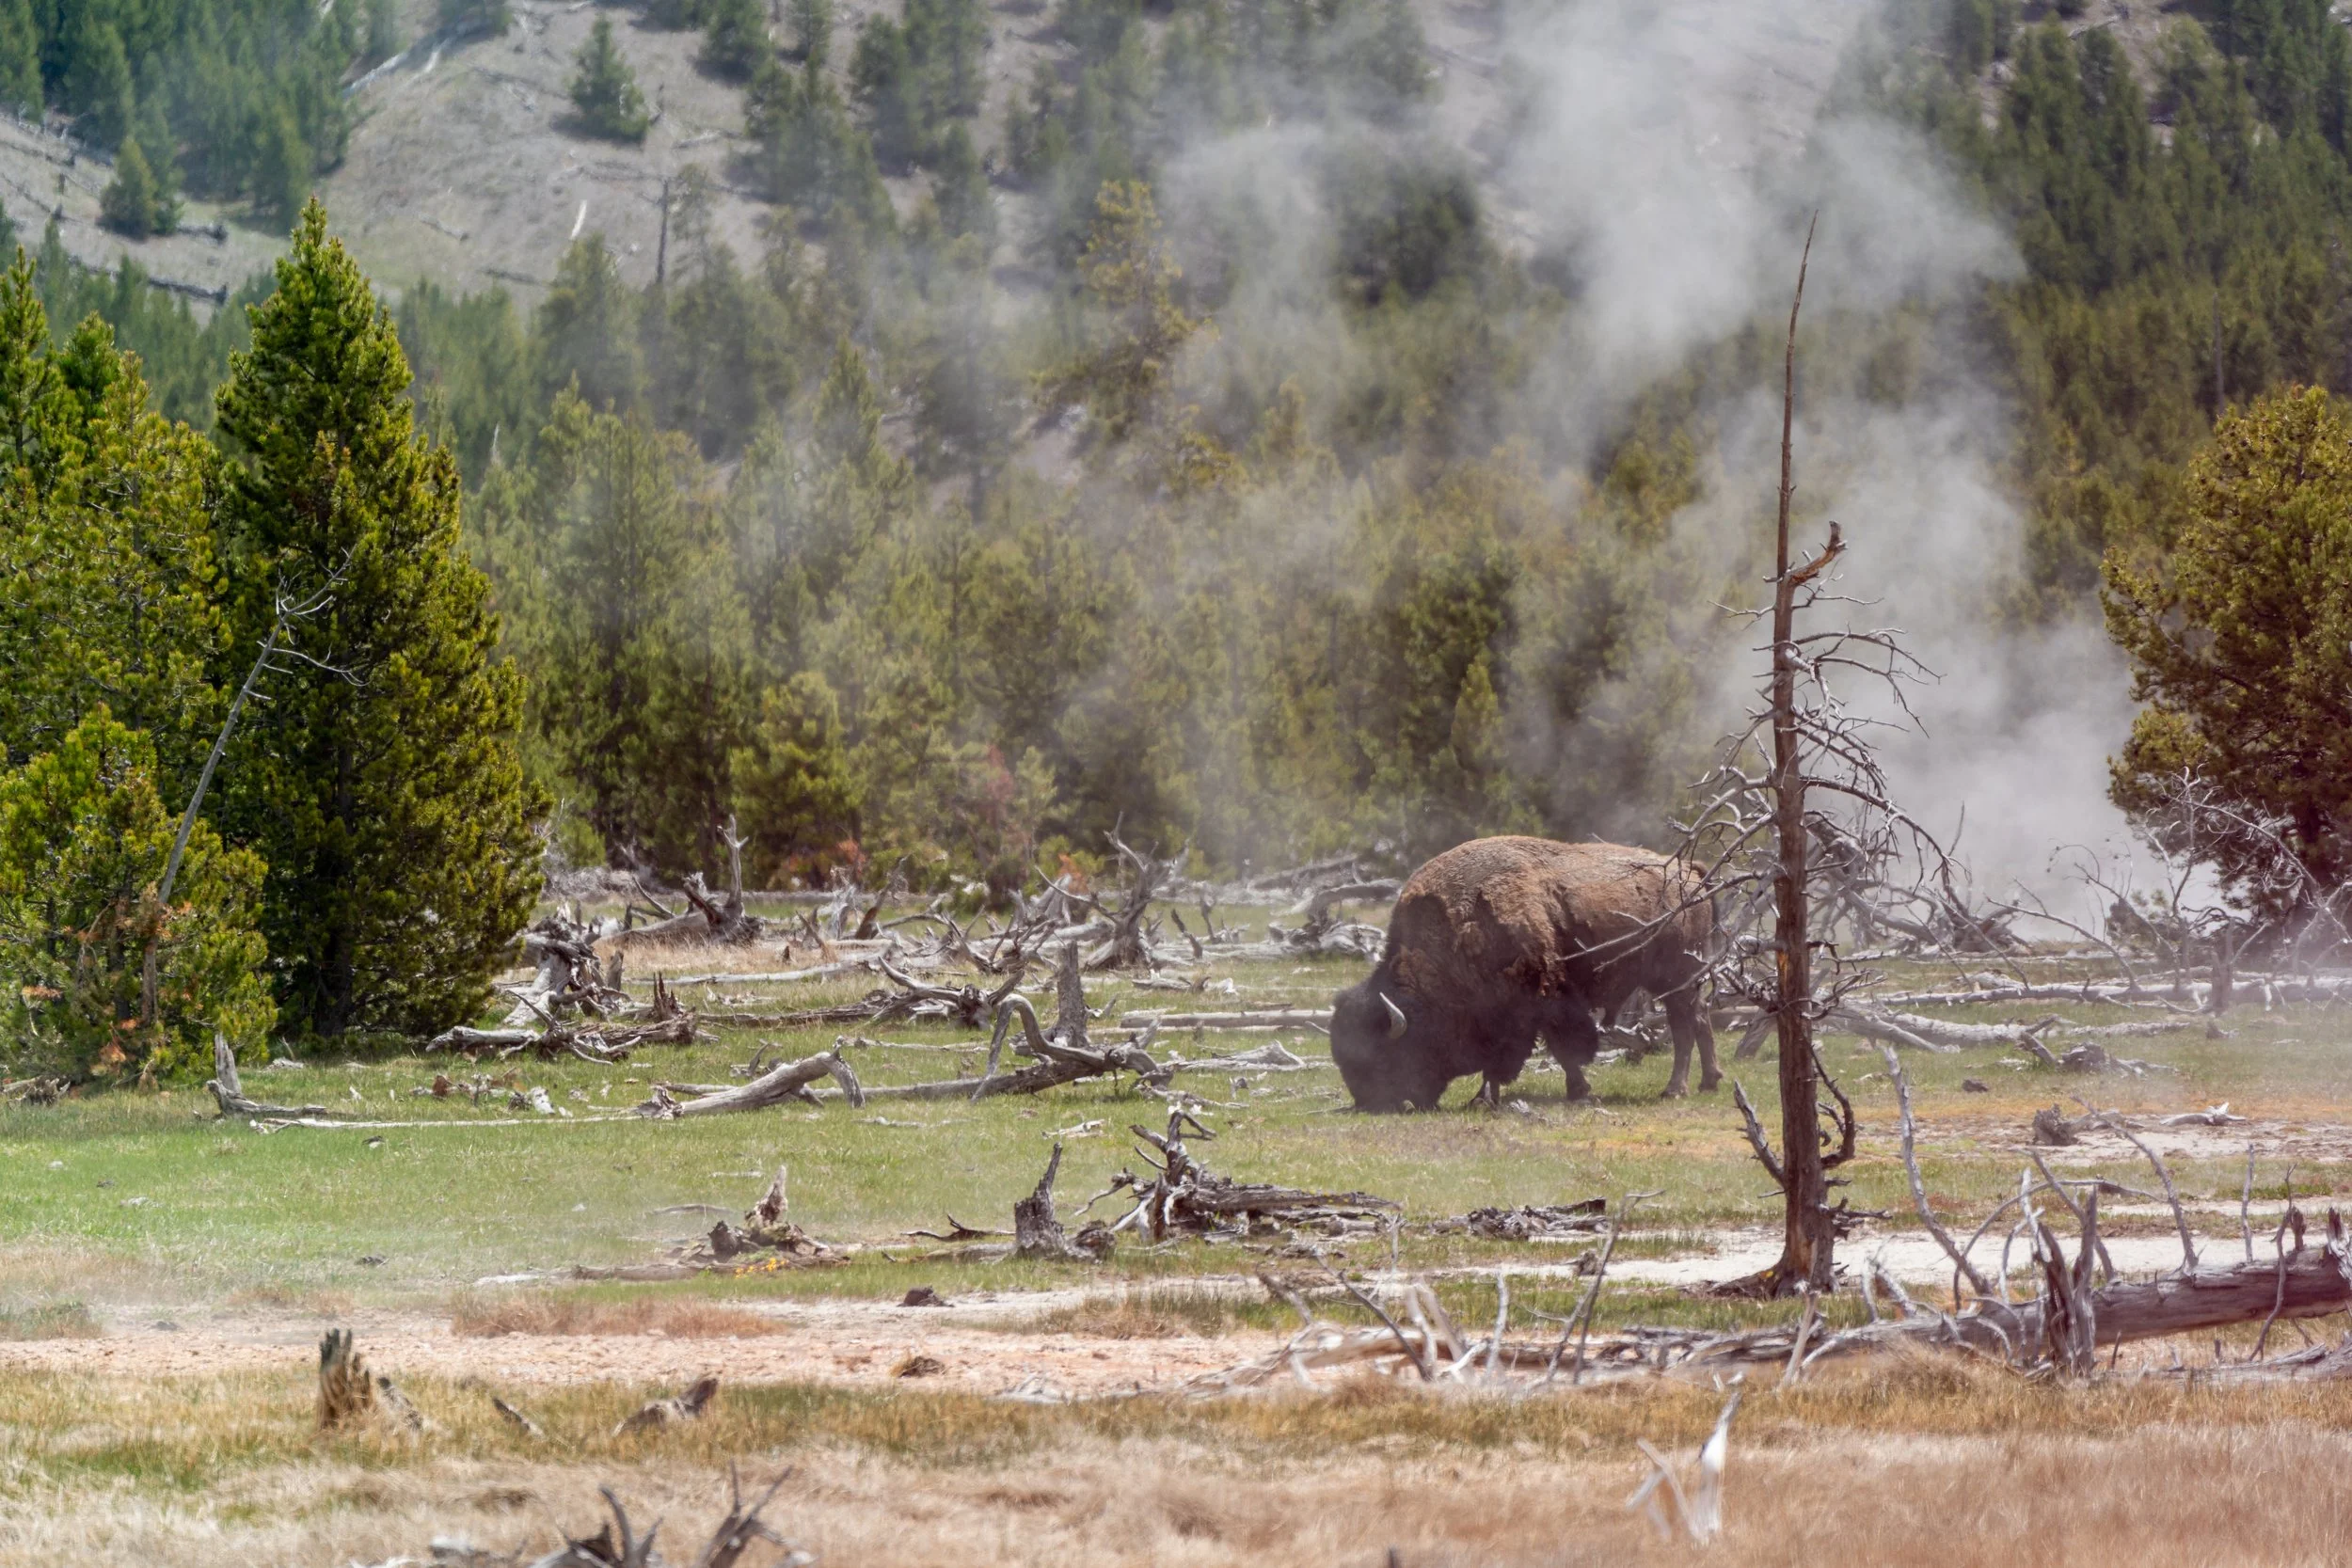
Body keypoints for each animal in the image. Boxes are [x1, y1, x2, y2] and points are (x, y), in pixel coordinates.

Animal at [1329, 836, 1719, 1110]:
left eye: (1384, 1056)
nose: (1370, 1103)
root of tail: (1690, 870)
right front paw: (1486, 1098)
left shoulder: (1543, 1004)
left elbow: (1560, 1051)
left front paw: (1577, 1093)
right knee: (1701, 1018)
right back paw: (1709, 1082)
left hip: (1676, 978)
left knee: (1684, 1027)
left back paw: (1675, 1090)